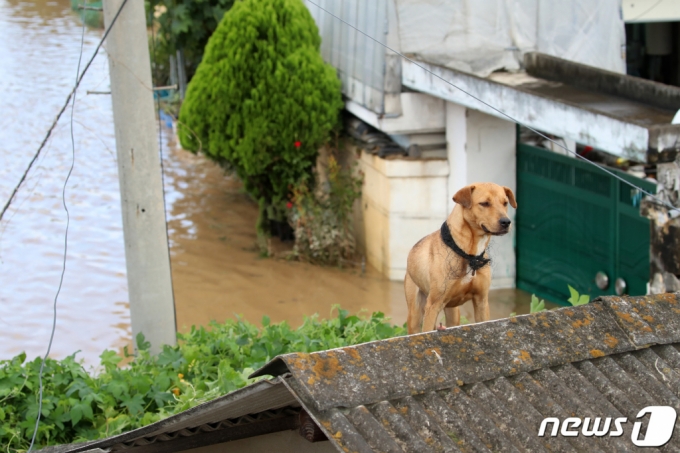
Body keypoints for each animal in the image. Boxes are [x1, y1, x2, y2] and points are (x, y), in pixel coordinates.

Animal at [404, 182, 516, 334]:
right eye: (484, 203)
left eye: (505, 203)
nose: (506, 222)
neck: (469, 255)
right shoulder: (433, 305)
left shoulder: (481, 301)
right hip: (416, 313)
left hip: (453, 313)